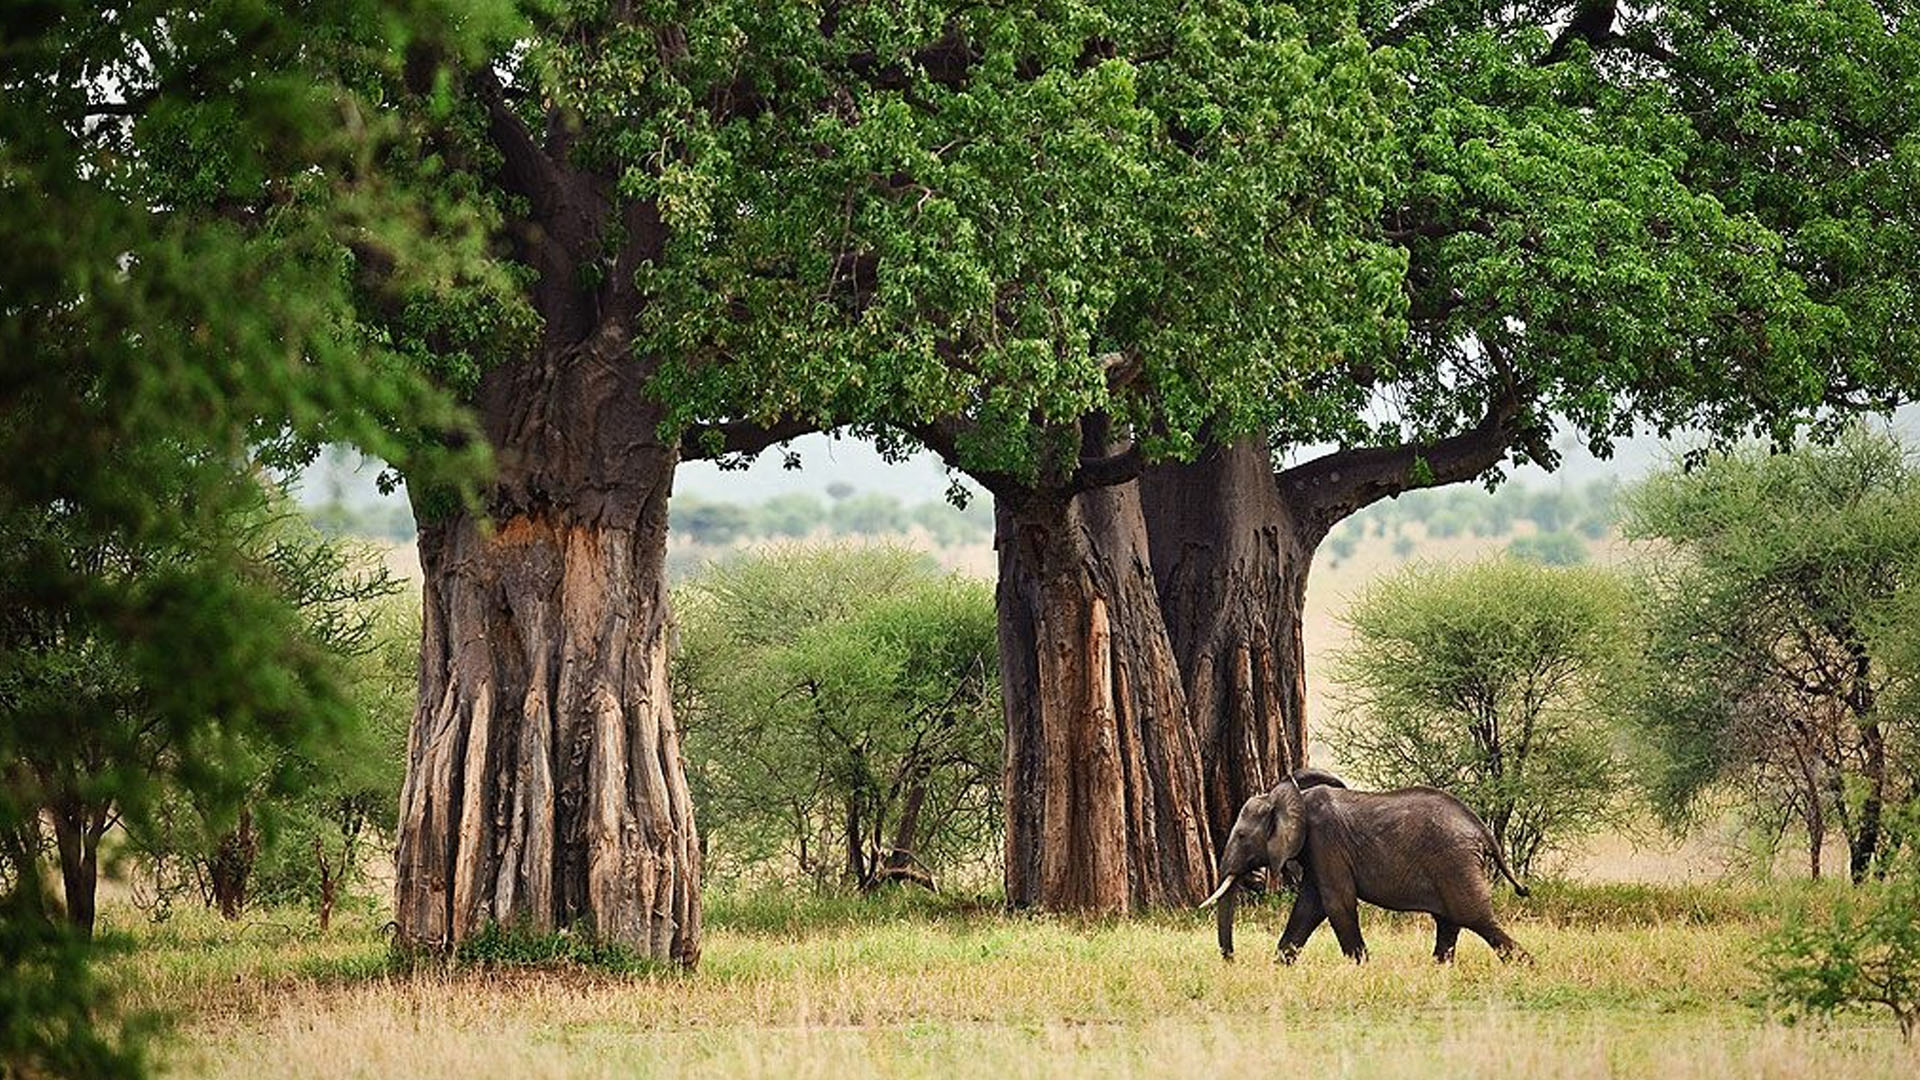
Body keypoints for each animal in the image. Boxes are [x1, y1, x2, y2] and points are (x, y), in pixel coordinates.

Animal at [1200, 773, 1529, 964]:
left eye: (1242, 837)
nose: (1231, 960)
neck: (1294, 797)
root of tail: (1481, 829)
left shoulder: (1325, 841)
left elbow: (1336, 903)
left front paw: (1362, 966)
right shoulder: (1315, 852)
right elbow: (1309, 907)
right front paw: (1281, 966)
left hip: (1454, 862)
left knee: (1474, 918)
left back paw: (1524, 967)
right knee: (1449, 921)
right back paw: (1439, 969)